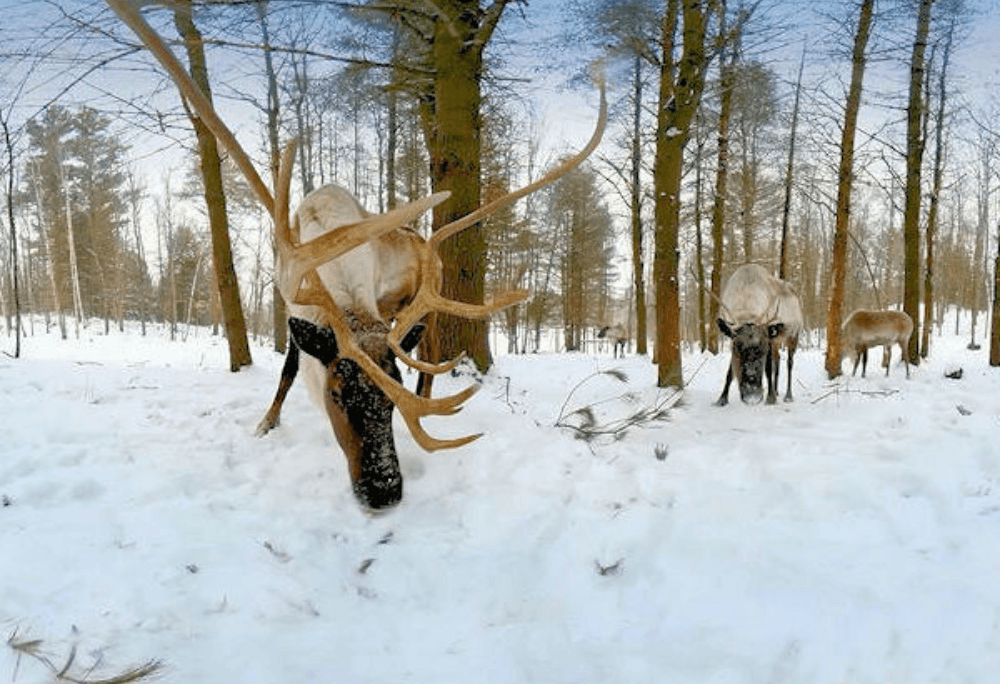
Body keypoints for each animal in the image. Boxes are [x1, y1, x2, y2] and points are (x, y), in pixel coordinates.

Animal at [105, 0, 607, 511]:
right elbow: (288, 368)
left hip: (424, 300)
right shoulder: (292, 299)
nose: (384, 491)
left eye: (389, 402)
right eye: (337, 394)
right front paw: (266, 422)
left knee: (430, 353)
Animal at [716, 264, 803, 406]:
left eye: (763, 350)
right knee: (777, 360)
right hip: (777, 340)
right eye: (737, 348)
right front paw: (722, 399)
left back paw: (788, 395)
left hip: (794, 335)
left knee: (789, 363)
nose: (752, 396)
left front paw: (770, 398)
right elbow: (730, 372)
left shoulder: (768, 339)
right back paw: (776, 390)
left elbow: (768, 368)